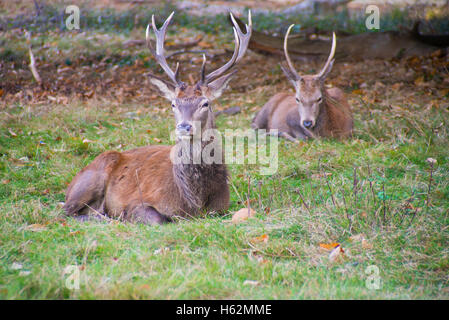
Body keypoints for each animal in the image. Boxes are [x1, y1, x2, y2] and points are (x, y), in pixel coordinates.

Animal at [63, 10, 252, 225]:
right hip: (91, 178)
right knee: (65, 212)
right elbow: (157, 218)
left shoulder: (222, 207)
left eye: (205, 103)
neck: (193, 201)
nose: (184, 127)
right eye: (173, 104)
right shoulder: (138, 201)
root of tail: (70, 185)